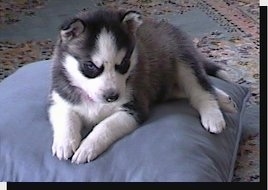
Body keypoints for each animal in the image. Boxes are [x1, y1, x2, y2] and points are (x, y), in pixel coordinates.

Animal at [48, 8, 237, 163]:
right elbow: (66, 118)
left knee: (201, 90)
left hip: (184, 61)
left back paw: (214, 115)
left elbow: (105, 126)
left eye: (123, 64)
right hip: (164, 85)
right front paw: (65, 143)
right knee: (187, 91)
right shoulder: (60, 99)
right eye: (90, 66)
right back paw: (224, 99)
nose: (112, 97)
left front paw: (87, 148)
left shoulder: (135, 108)